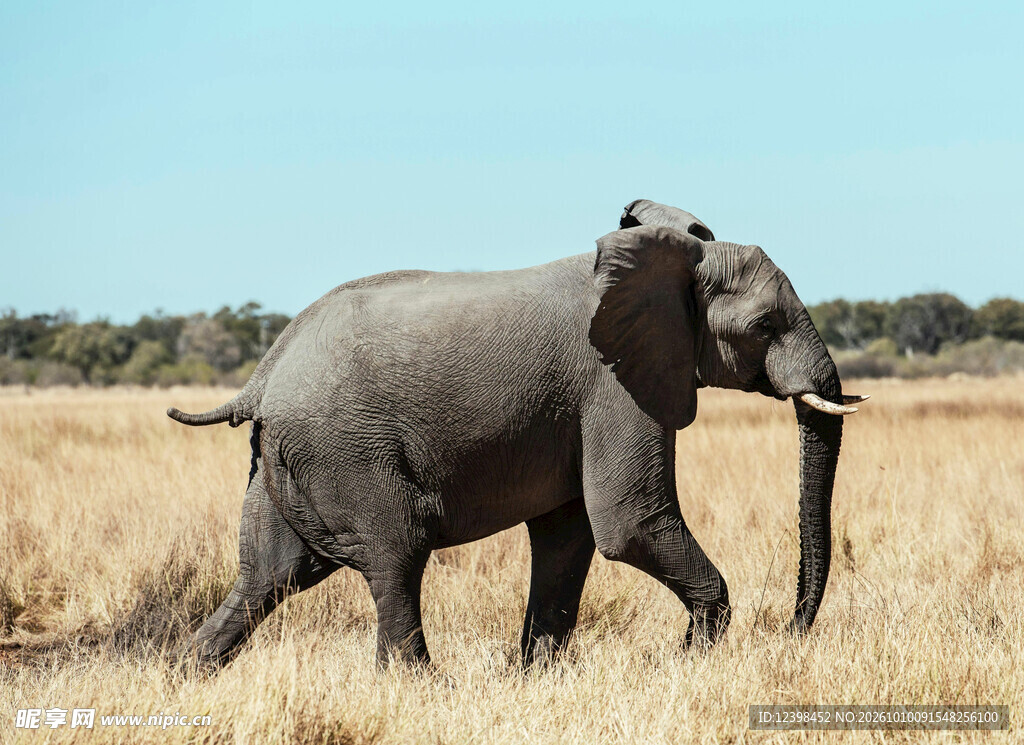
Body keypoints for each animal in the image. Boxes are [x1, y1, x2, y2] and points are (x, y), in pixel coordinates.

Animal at [168, 199, 866, 668]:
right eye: (765, 325)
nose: (793, 632)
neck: (669, 262)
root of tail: (264, 374)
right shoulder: (614, 381)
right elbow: (628, 521)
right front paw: (691, 659)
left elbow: (567, 537)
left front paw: (536, 674)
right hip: (346, 450)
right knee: (395, 558)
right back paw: (420, 688)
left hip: (285, 462)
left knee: (270, 574)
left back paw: (189, 673)